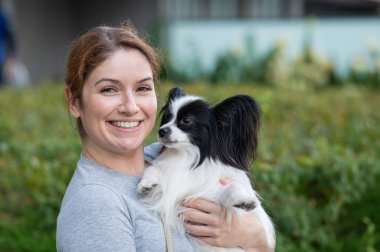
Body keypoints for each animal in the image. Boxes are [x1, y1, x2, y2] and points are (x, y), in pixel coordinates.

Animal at [138, 87, 274, 252]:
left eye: (186, 120)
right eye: (167, 118)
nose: (161, 131)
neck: (186, 157)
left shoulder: (207, 196)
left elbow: (231, 188)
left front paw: (243, 200)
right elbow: (153, 169)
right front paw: (147, 183)